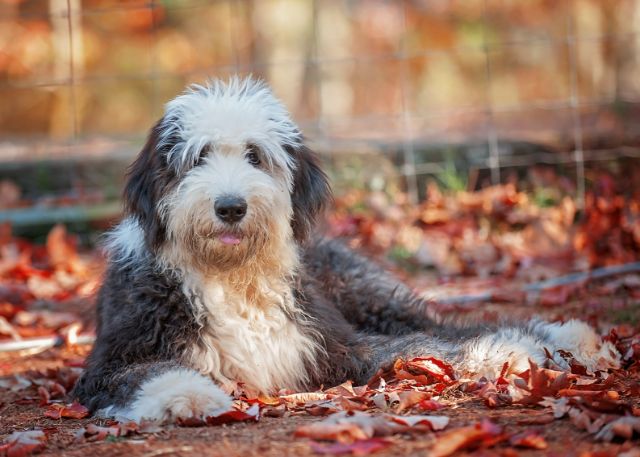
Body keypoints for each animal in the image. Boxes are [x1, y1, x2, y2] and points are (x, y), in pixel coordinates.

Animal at [72, 76, 624, 422]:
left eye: (254, 156)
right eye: (197, 158)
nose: (230, 207)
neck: (231, 278)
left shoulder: (335, 345)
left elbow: (424, 348)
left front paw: (506, 353)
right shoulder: (110, 362)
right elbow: (145, 373)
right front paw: (186, 396)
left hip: (371, 296)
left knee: (442, 326)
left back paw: (566, 337)